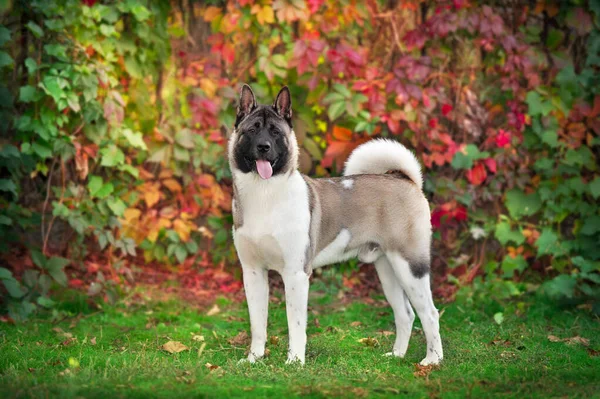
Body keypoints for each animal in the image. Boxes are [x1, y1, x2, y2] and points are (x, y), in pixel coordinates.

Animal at [227, 86, 442, 368]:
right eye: (252, 130)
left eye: (275, 132)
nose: (264, 147)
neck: (265, 195)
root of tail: (405, 179)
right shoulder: (253, 273)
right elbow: (257, 323)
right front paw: (254, 358)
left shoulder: (296, 274)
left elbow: (296, 324)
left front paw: (295, 362)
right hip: (388, 268)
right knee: (405, 313)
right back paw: (397, 355)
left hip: (411, 266)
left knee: (430, 313)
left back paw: (433, 360)